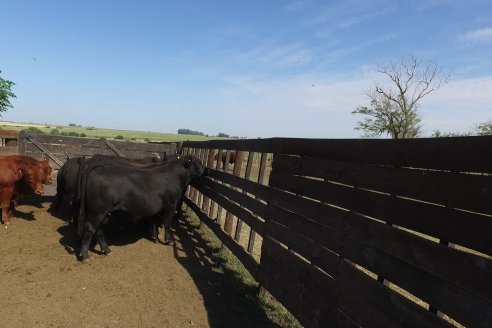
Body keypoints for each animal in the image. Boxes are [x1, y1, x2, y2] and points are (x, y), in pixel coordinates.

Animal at [76, 156, 206, 262]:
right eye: (198, 163)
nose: (206, 170)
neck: (176, 176)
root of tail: (98, 167)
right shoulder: (170, 205)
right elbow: (167, 224)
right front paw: (168, 241)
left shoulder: (156, 209)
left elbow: (153, 222)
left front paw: (154, 237)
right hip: (98, 212)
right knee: (90, 229)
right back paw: (85, 256)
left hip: (104, 213)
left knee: (99, 230)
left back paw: (107, 250)